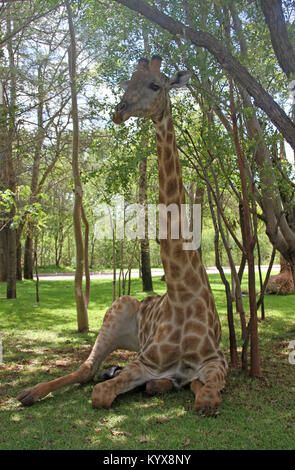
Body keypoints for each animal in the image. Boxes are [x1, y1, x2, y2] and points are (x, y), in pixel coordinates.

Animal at [17, 56, 228, 412]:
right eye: (128, 81)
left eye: (155, 84)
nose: (119, 111)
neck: (182, 295)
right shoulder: (145, 361)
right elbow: (101, 394)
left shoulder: (215, 361)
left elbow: (206, 397)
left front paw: (184, 386)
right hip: (115, 313)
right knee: (87, 370)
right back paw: (29, 393)